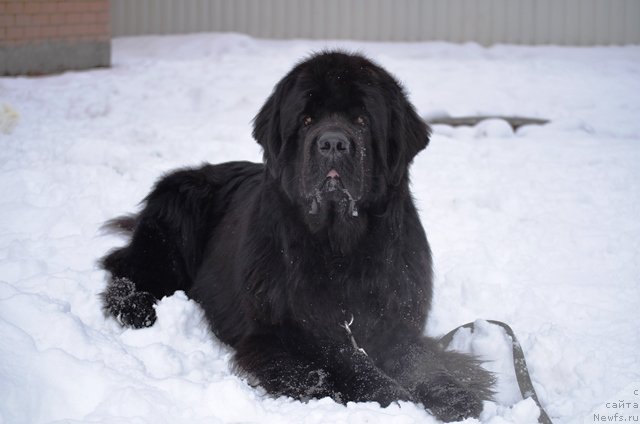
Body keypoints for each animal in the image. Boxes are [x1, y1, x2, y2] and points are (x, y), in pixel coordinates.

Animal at [102, 49, 496, 420]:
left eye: (362, 120)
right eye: (307, 120)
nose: (333, 143)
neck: (341, 249)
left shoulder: (396, 319)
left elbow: (419, 360)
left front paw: (454, 393)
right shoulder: (281, 332)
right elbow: (341, 359)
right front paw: (390, 395)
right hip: (174, 221)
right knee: (127, 268)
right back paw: (135, 307)